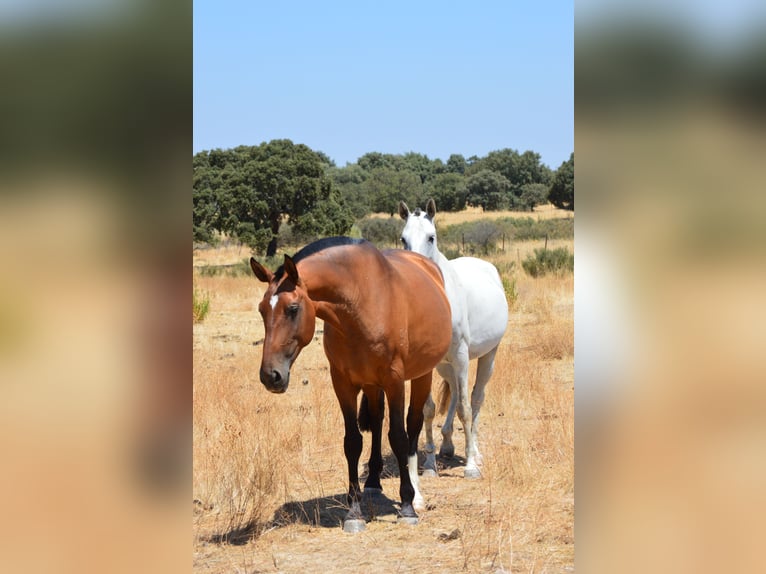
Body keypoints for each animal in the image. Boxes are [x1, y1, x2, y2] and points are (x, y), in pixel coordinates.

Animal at [250, 236, 456, 532]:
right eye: (261, 309)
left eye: (293, 309)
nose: (271, 376)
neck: (359, 303)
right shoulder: (343, 383)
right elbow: (353, 442)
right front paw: (354, 512)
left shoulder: (394, 380)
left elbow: (399, 437)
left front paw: (406, 506)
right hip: (371, 384)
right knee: (378, 421)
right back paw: (372, 482)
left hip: (421, 375)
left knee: (413, 425)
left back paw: (416, 495)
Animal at [400, 200, 508, 480]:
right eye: (403, 239)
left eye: (431, 237)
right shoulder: (427, 363)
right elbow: (427, 409)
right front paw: (428, 464)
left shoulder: (461, 355)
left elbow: (465, 409)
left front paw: (470, 466)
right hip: (446, 365)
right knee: (456, 392)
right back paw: (447, 445)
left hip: (486, 356)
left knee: (475, 397)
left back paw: (476, 453)